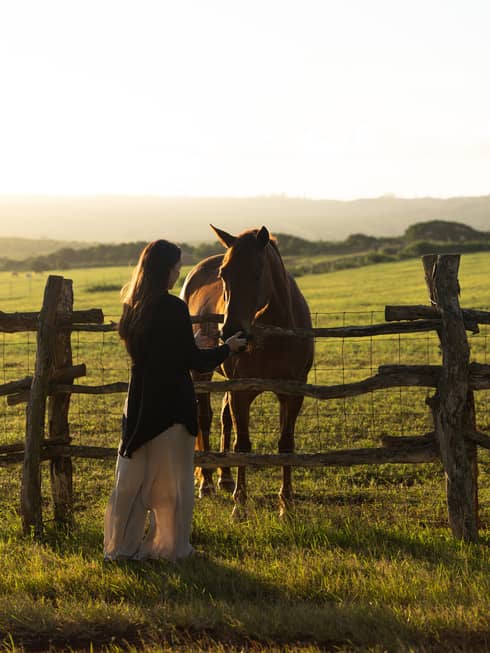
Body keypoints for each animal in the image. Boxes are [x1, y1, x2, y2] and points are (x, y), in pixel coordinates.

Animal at [180, 225, 314, 516]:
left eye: (256, 273)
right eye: (224, 274)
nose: (231, 332)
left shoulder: (292, 393)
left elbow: (286, 444)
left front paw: (286, 505)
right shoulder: (241, 393)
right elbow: (243, 445)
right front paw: (240, 506)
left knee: (223, 419)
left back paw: (225, 478)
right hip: (202, 374)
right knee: (204, 419)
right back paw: (207, 482)